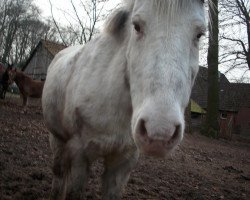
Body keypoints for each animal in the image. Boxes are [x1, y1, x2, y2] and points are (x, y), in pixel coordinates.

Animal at [42, 0, 207, 199]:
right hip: (57, 140)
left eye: (199, 34)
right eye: (136, 26)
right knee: (59, 177)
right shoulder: (79, 155)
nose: (159, 132)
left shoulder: (123, 162)